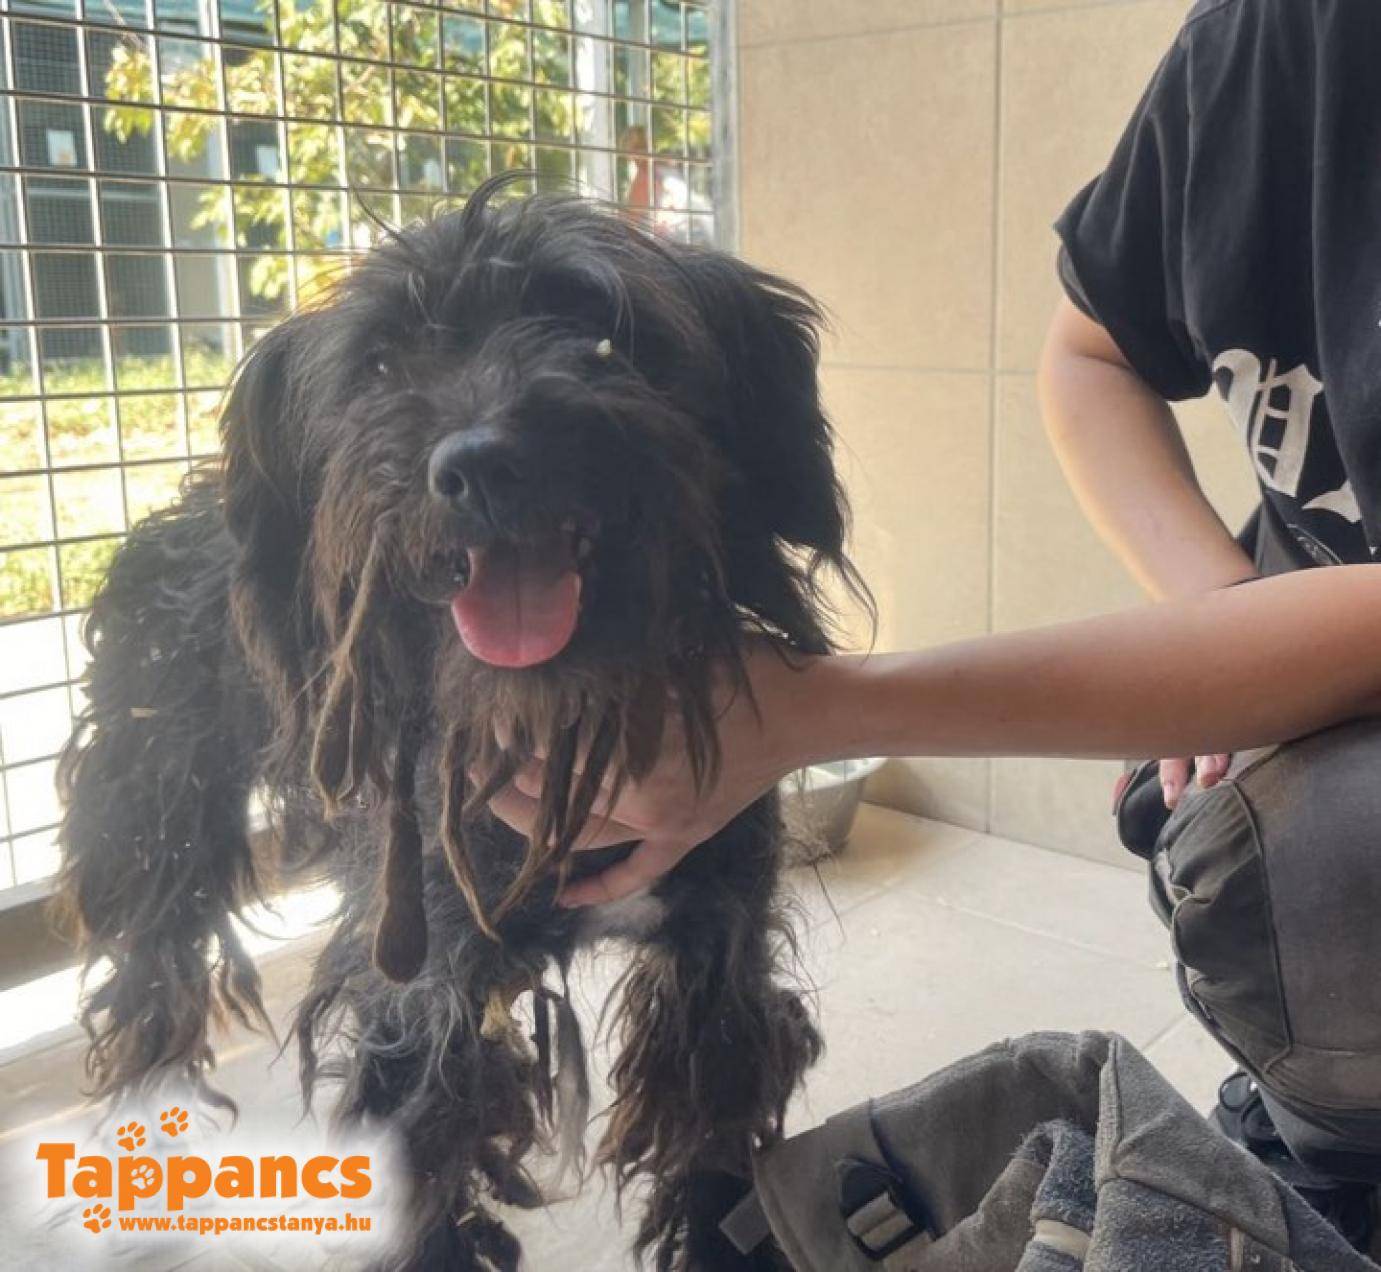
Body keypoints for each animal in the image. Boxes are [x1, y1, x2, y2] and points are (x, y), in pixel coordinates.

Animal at [55, 176, 866, 1270]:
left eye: (601, 335)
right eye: (378, 366)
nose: (483, 465)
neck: (565, 733)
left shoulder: (716, 962)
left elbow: (717, 1168)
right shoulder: (427, 997)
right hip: (154, 841)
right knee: (151, 998)